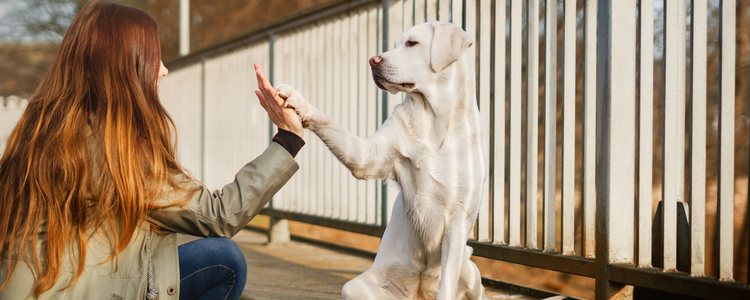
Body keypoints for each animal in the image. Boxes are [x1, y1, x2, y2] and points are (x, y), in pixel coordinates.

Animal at [278, 21, 488, 300]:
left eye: (412, 43)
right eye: (395, 44)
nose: (373, 60)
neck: (433, 122)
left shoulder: (458, 214)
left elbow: (447, 286)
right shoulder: (369, 156)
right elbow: (329, 123)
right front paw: (295, 99)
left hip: (470, 268)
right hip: (356, 287)